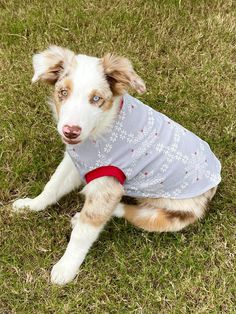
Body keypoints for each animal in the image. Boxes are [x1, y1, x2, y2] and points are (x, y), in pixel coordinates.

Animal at [12, 46, 220, 284]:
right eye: (63, 93)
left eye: (96, 98)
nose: (70, 131)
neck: (98, 132)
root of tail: (214, 184)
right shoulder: (75, 163)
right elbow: (52, 187)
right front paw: (30, 205)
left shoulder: (107, 187)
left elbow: (83, 233)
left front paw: (65, 268)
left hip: (171, 218)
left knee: (133, 213)